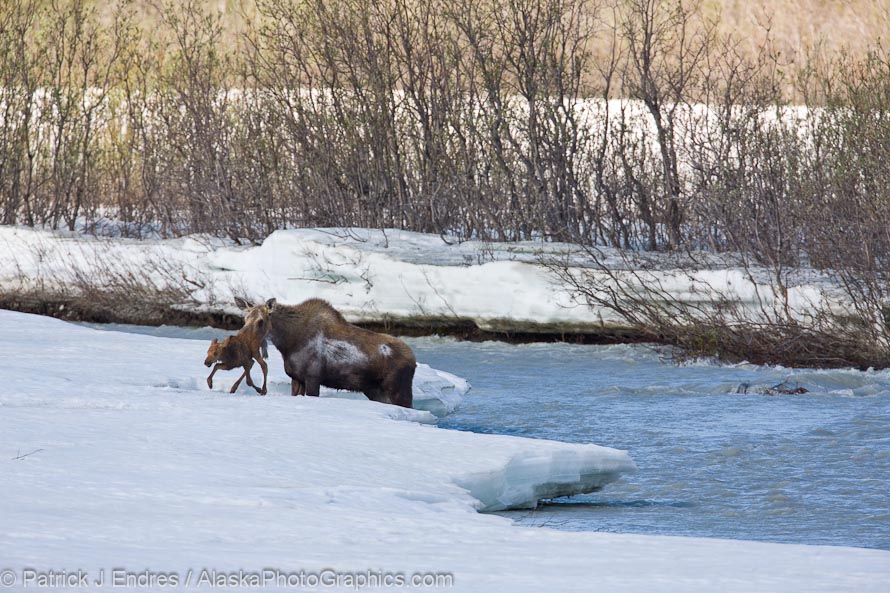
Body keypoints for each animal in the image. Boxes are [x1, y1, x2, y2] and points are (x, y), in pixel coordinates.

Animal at [236, 296, 416, 408]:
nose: (243, 338)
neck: (287, 343)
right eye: (245, 318)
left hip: (399, 390)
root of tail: (413, 360)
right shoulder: (297, 378)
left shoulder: (313, 378)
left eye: (261, 321)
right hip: (375, 390)